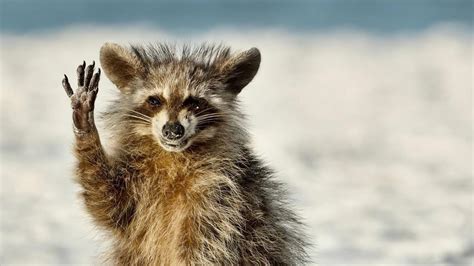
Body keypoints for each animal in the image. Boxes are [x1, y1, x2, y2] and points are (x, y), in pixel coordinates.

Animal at [61, 42, 310, 264]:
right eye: (154, 100)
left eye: (196, 103)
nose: (173, 130)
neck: (174, 157)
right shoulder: (134, 183)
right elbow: (106, 203)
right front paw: (85, 129)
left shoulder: (222, 197)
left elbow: (204, 247)